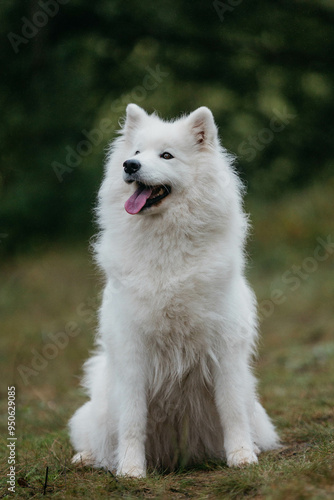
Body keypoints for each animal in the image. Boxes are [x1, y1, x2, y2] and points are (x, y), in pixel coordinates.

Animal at [68, 104, 280, 476]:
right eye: (137, 152)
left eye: (166, 155)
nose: (129, 166)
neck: (166, 246)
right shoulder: (133, 352)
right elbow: (132, 420)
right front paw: (131, 470)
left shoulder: (224, 350)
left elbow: (232, 411)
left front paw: (241, 456)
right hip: (101, 404)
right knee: (97, 436)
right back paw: (90, 458)